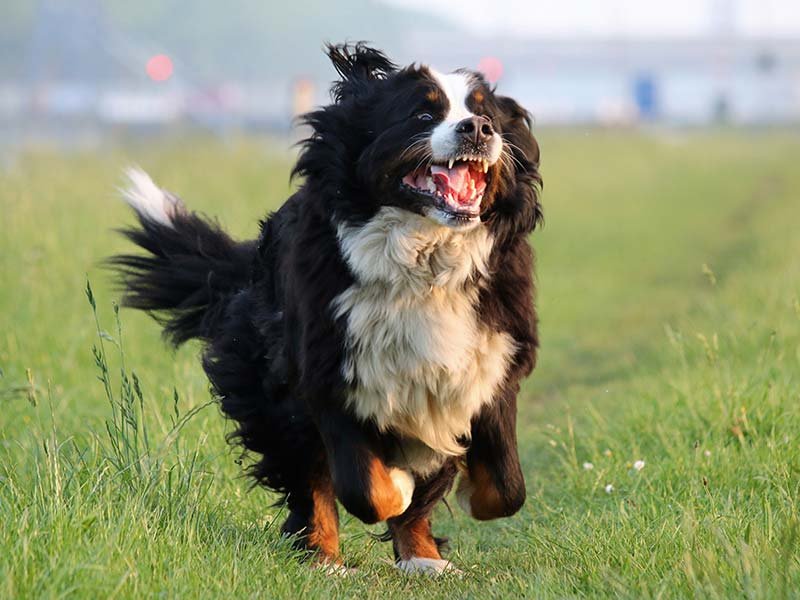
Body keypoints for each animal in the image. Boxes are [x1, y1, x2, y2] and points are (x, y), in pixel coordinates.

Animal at [110, 43, 542, 574]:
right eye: (423, 113)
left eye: (487, 116)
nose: (478, 130)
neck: (424, 264)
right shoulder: (330, 367)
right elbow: (366, 486)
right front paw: (397, 482)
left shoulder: (490, 364)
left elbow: (506, 488)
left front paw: (432, 508)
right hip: (272, 385)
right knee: (310, 476)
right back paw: (324, 556)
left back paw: (422, 559)